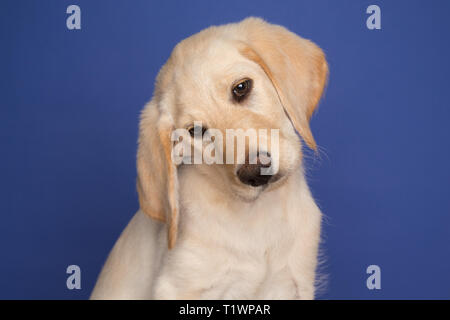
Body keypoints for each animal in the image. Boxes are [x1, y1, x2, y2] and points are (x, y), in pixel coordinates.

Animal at [90, 16, 326, 300]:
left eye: (241, 88)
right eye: (196, 131)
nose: (255, 171)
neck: (258, 219)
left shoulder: (295, 282)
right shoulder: (179, 287)